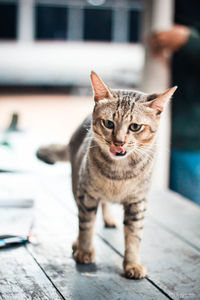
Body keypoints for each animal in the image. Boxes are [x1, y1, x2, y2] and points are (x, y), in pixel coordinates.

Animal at [37, 72, 177, 278]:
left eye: (135, 127)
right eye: (109, 123)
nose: (118, 142)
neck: (118, 175)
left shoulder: (138, 202)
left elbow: (134, 236)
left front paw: (132, 264)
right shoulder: (86, 194)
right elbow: (86, 226)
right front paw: (84, 250)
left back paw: (109, 218)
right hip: (76, 184)